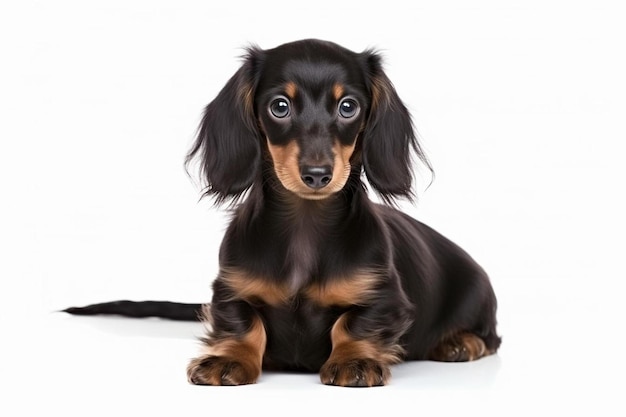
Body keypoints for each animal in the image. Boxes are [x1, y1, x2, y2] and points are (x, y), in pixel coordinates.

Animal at [66, 39, 500, 386]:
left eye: (348, 107)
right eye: (280, 106)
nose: (317, 174)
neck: (304, 227)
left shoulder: (385, 299)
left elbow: (353, 324)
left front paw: (355, 360)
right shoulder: (230, 289)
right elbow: (242, 325)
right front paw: (227, 359)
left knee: (492, 337)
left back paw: (460, 341)